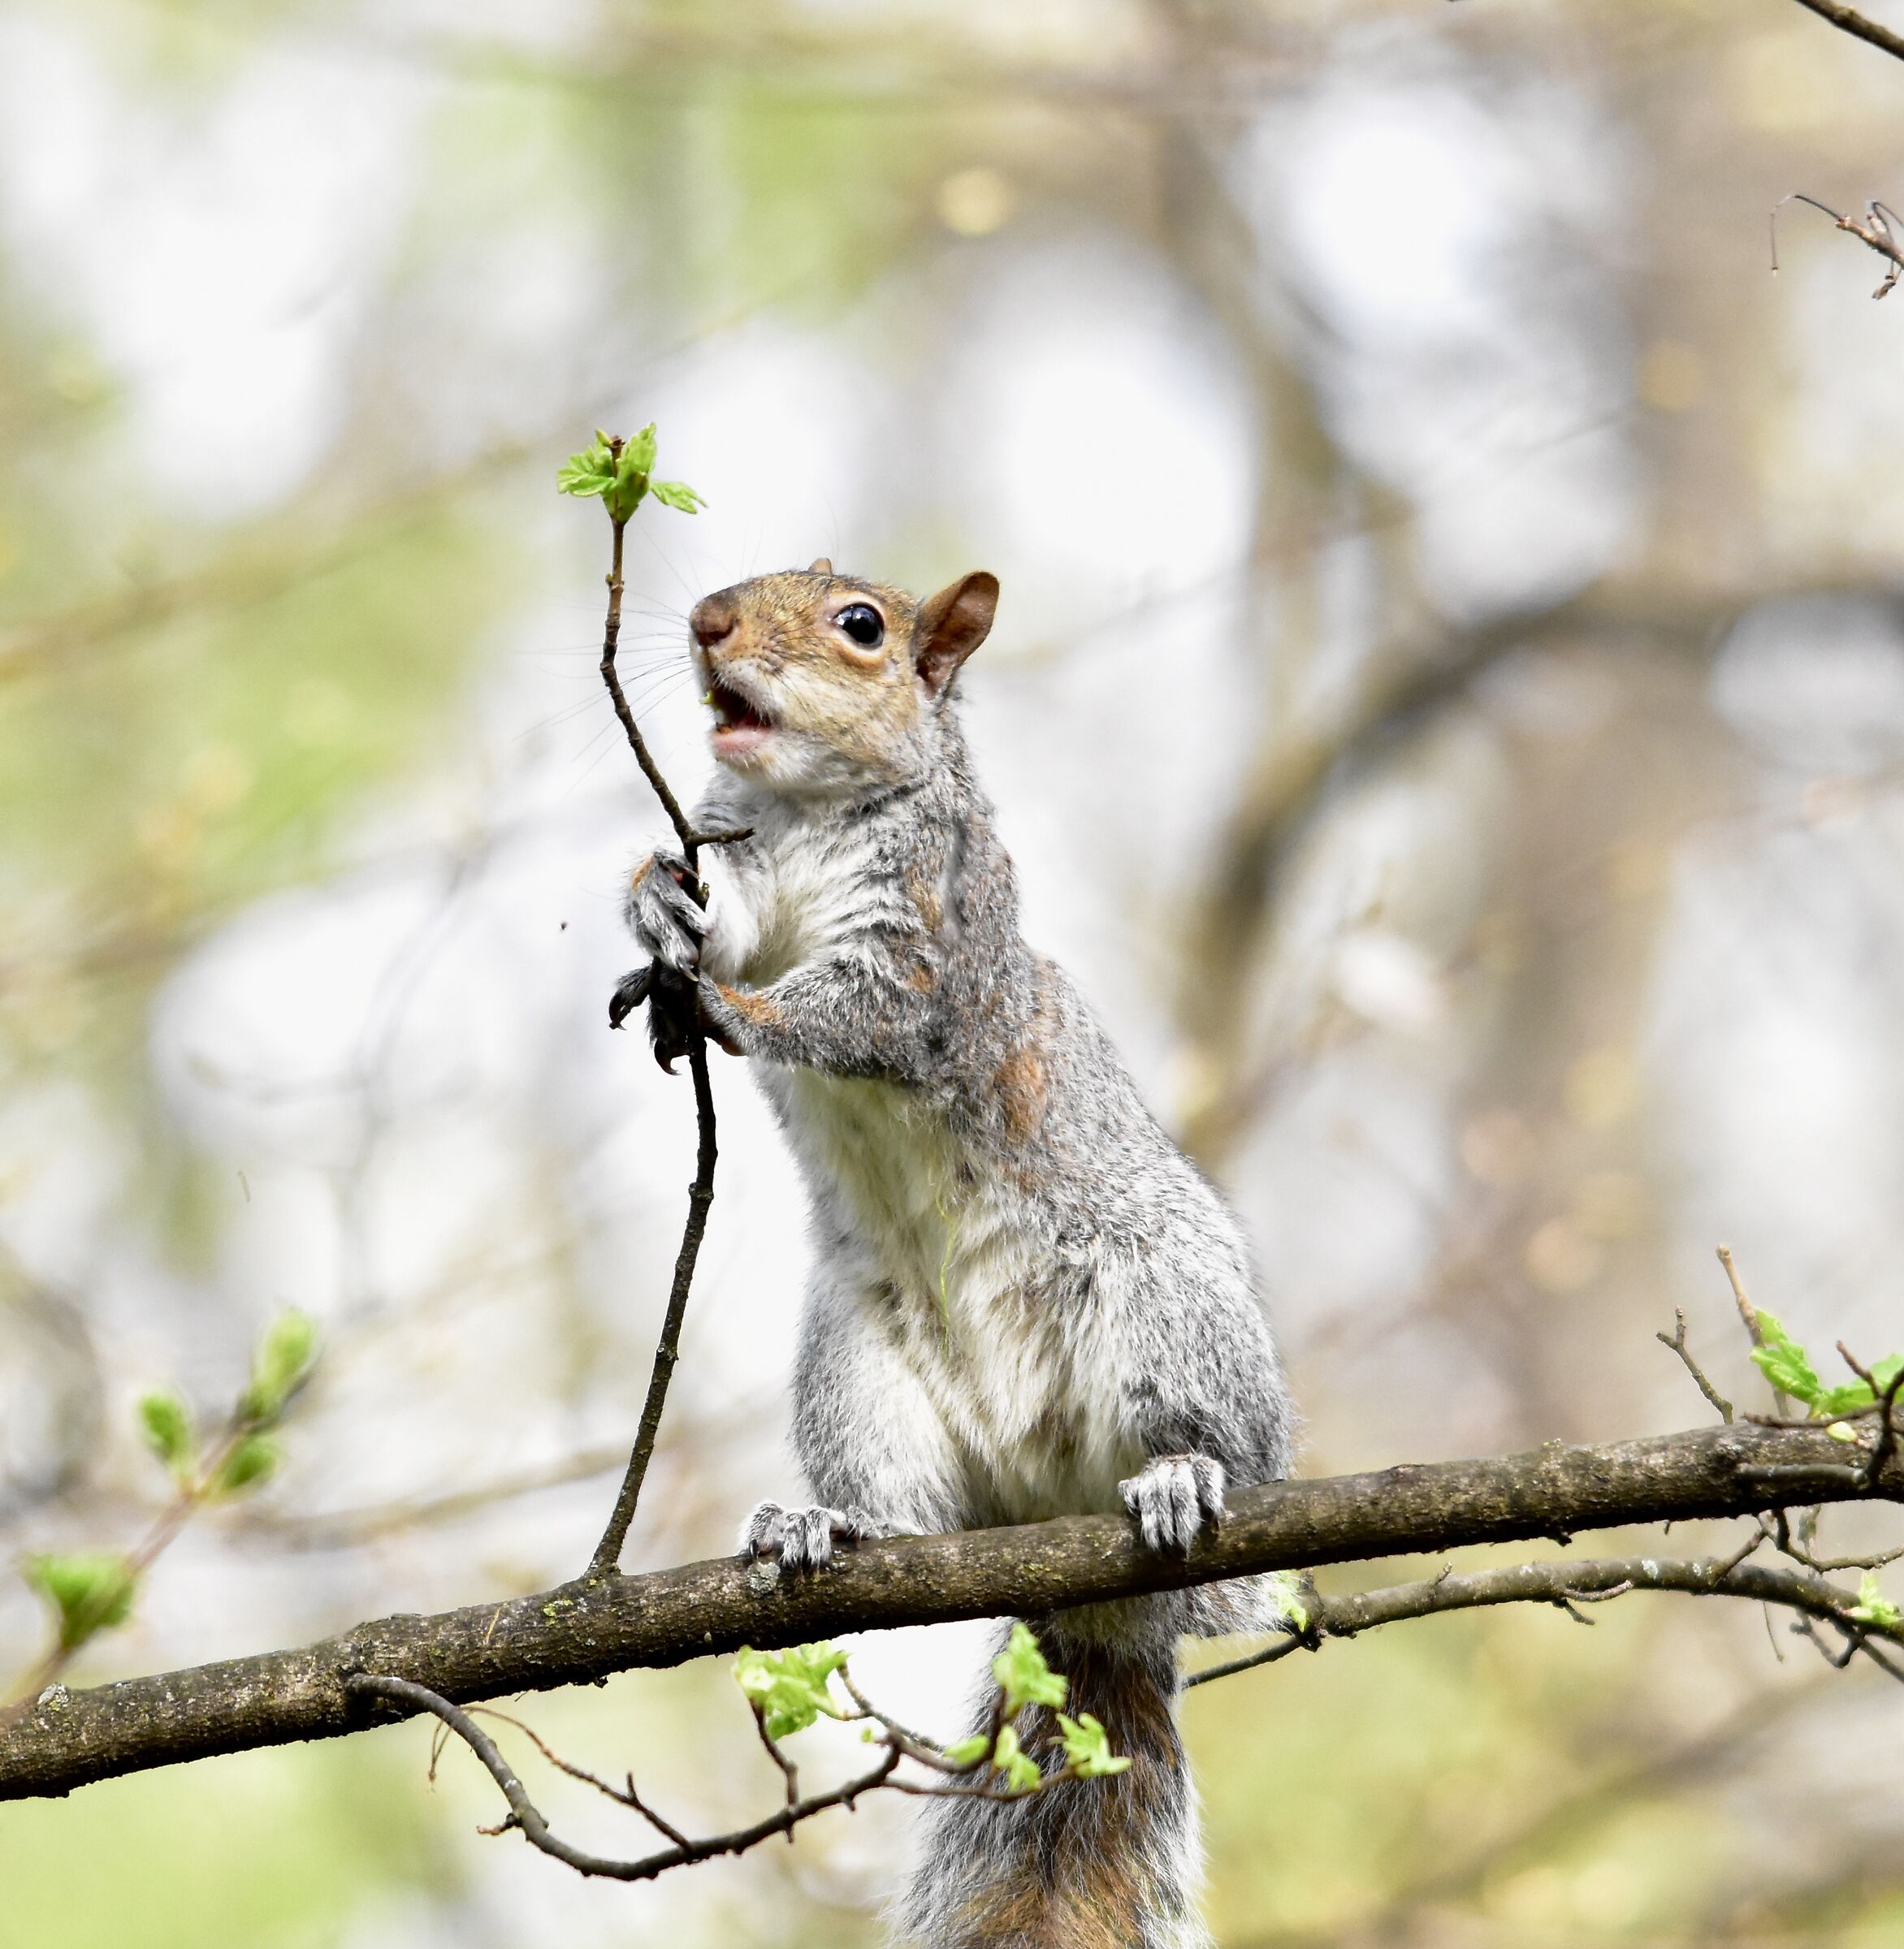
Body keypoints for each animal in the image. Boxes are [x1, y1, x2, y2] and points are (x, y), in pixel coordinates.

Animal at [621, 560, 1295, 1949]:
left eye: (862, 627)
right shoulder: (745, 867)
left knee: (1211, 1517)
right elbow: (719, 920)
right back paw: (830, 1526)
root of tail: (1071, 1562)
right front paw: (651, 901)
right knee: (909, 1515)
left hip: (1166, 1299)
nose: (708, 622)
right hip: (860, 1369)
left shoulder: (931, 935)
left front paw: (736, 1010)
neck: (810, 812)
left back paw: (1183, 1479)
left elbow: (862, 1013)